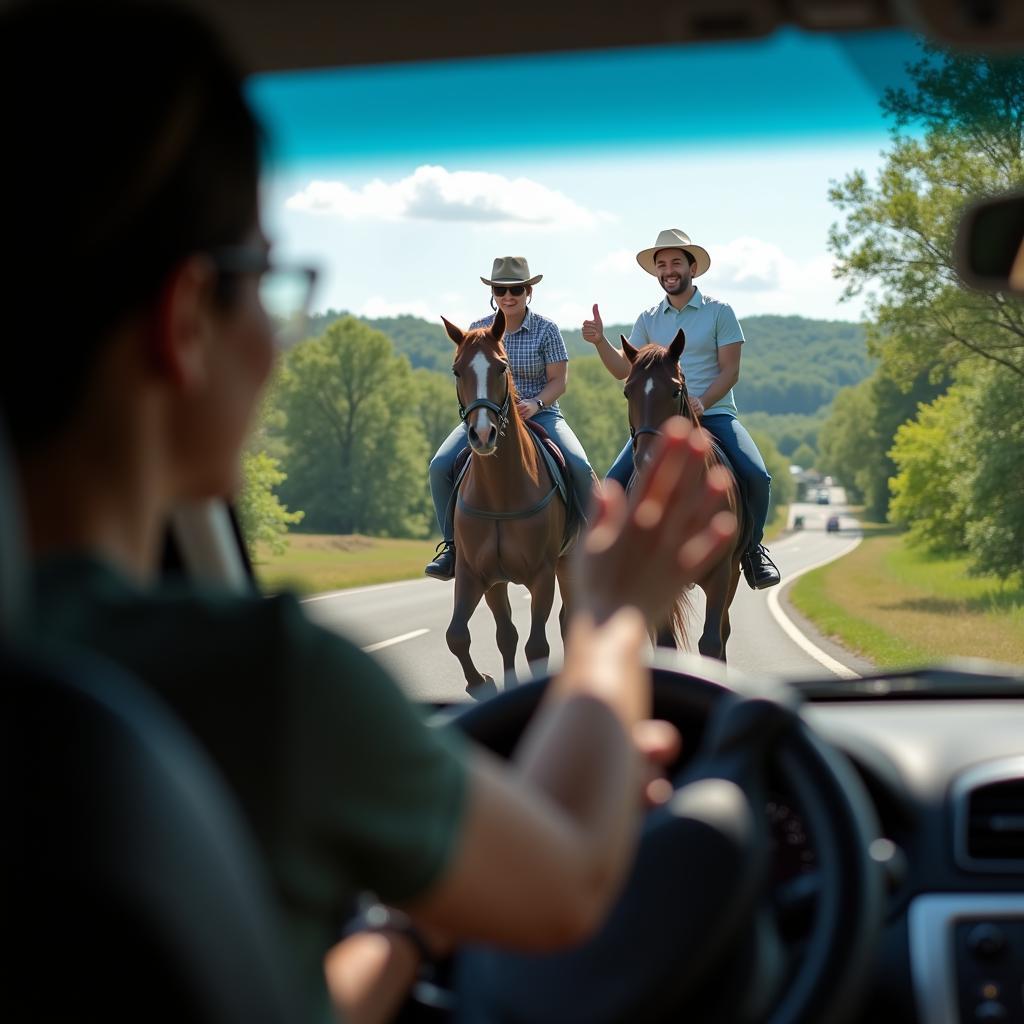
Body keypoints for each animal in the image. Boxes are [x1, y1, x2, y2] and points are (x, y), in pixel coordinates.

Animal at [440, 309, 581, 688]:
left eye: (502, 368)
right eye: (457, 370)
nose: (482, 434)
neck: (500, 493)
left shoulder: (542, 575)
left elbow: (537, 648)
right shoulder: (477, 574)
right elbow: (463, 635)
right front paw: (482, 684)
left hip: (568, 565)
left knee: (570, 621)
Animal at [614, 329, 753, 663]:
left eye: (676, 391)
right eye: (627, 392)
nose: (649, 459)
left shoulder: (720, 574)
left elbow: (712, 643)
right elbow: (665, 642)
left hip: (733, 574)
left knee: (724, 632)